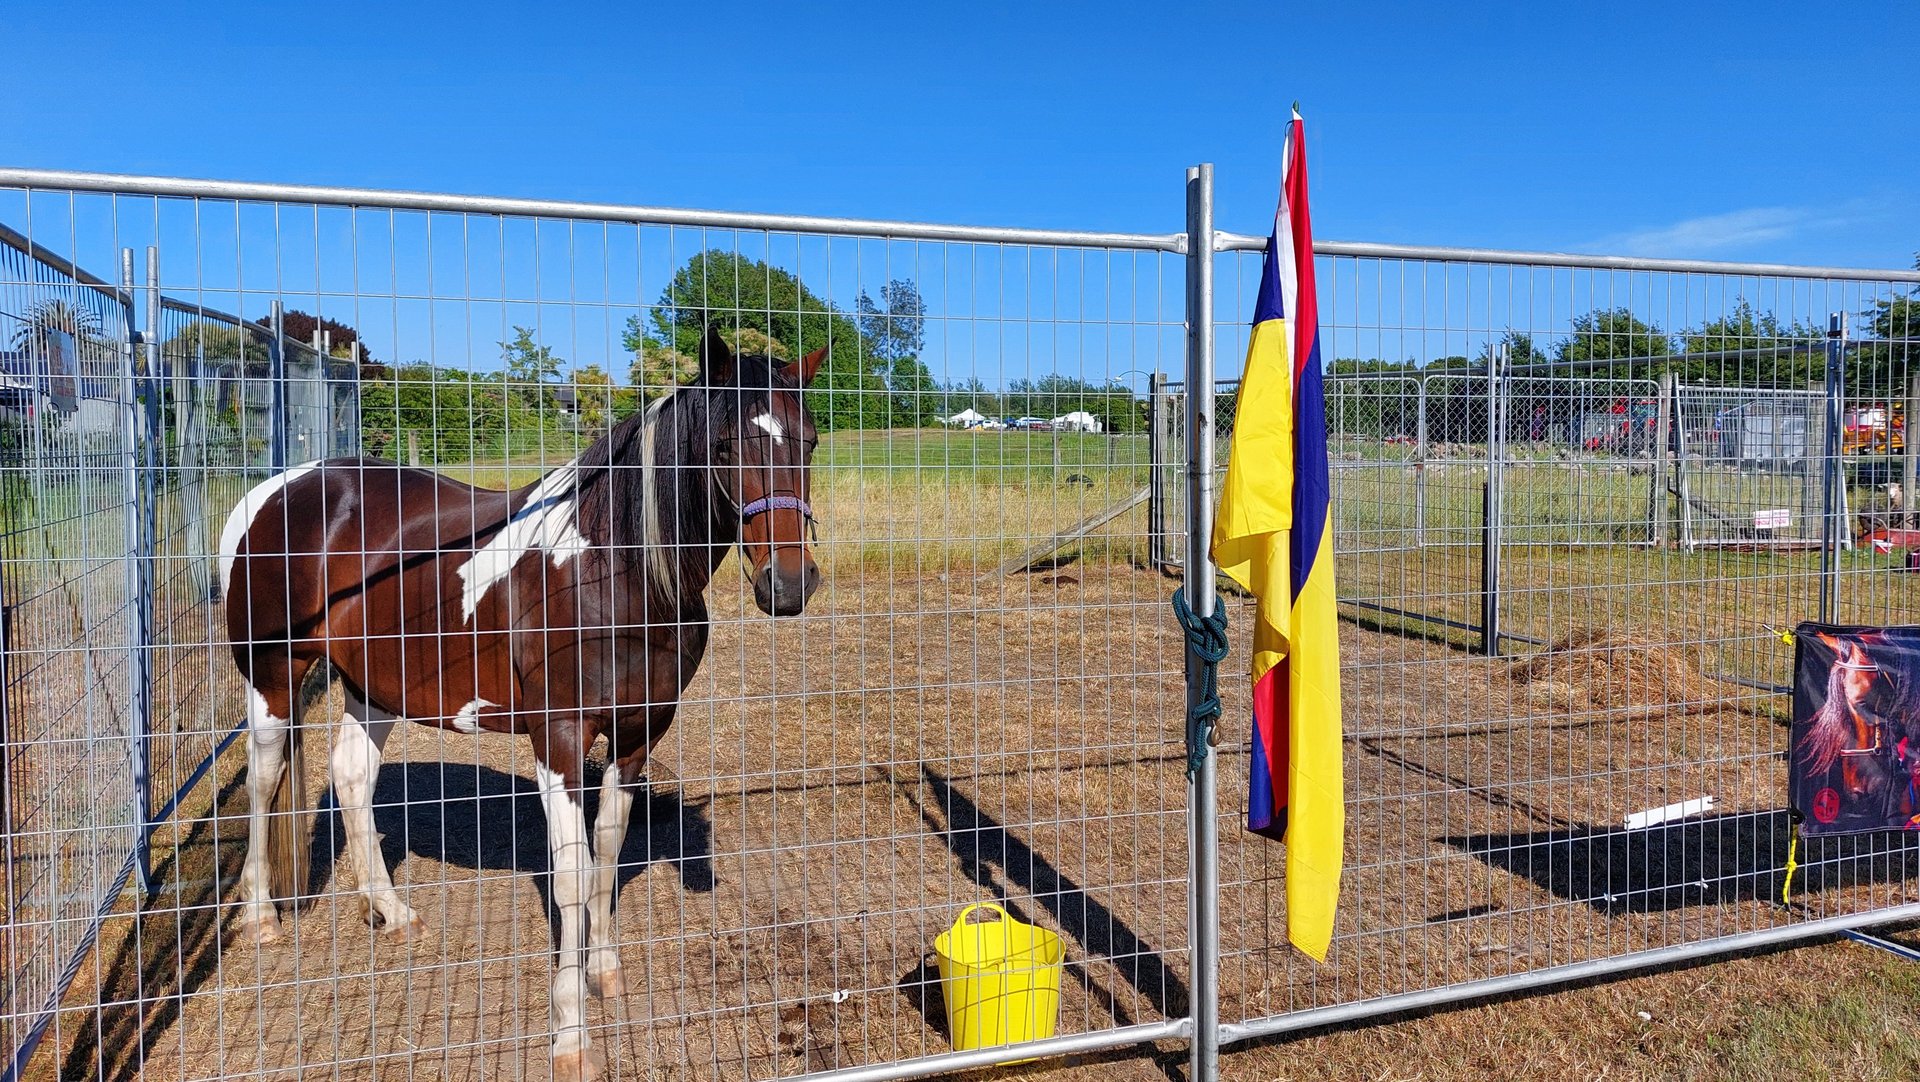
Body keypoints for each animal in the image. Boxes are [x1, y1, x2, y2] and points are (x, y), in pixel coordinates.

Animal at [218, 324, 823, 1080]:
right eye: (723, 444)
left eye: (810, 441)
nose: (789, 585)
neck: (612, 570)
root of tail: (272, 492)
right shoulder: (558, 740)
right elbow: (570, 876)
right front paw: (572, 1036)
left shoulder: (636, 736)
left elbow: (607, 853)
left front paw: (605, 972)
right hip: (272, 677)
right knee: (263, 779)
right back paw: (262, 918)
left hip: (373, 686)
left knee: (353, 778)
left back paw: (392, 911)